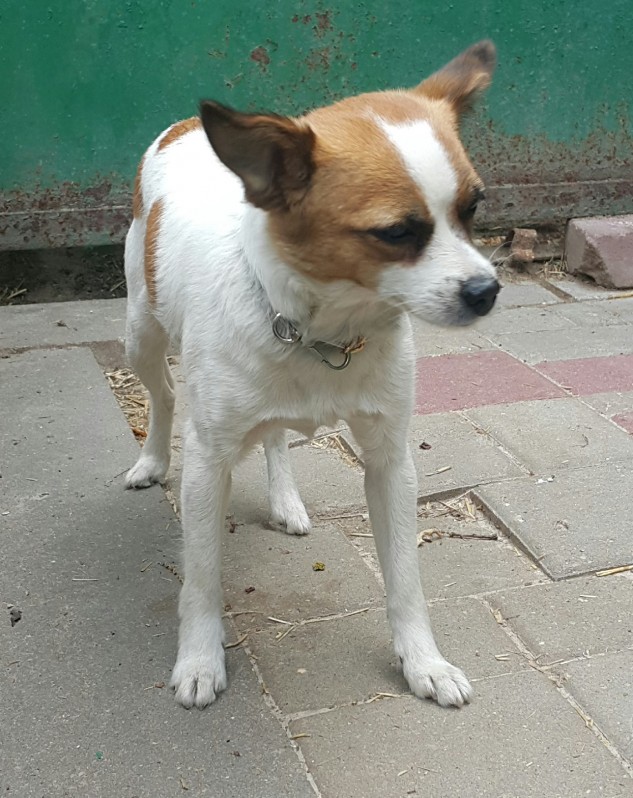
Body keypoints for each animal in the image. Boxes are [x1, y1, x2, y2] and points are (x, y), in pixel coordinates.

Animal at [124, 40, 499, 709]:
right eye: (396, 232)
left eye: (472, 208)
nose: (487, 291)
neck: (323, 332)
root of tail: (186, 126)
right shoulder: (209, 463)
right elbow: (201, 579)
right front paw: (199, 658)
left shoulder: (390, 461)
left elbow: (406, 579)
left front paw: (422, 661)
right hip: (140, 336)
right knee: (163, 395)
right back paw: (153, 461)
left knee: (274, 435)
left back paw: (285, 500)